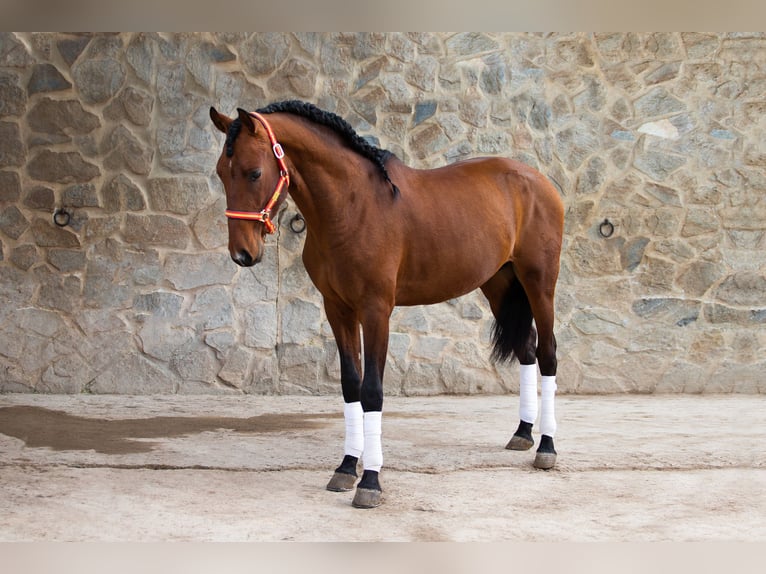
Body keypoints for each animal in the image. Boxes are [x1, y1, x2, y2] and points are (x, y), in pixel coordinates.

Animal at [209, 100, 565, 509]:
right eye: (221, 172)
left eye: (254, 172)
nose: (242, 253)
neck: (353, 206)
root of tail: (538, 181)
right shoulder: (338, 309)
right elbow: (351, 385)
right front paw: (346, 468)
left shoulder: (376, 310)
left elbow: (372, 391)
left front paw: (370, 482)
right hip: (499, 284)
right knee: (526, 349)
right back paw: (523, 433)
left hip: (540, 283)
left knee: (548, 353)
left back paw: (546, 447)